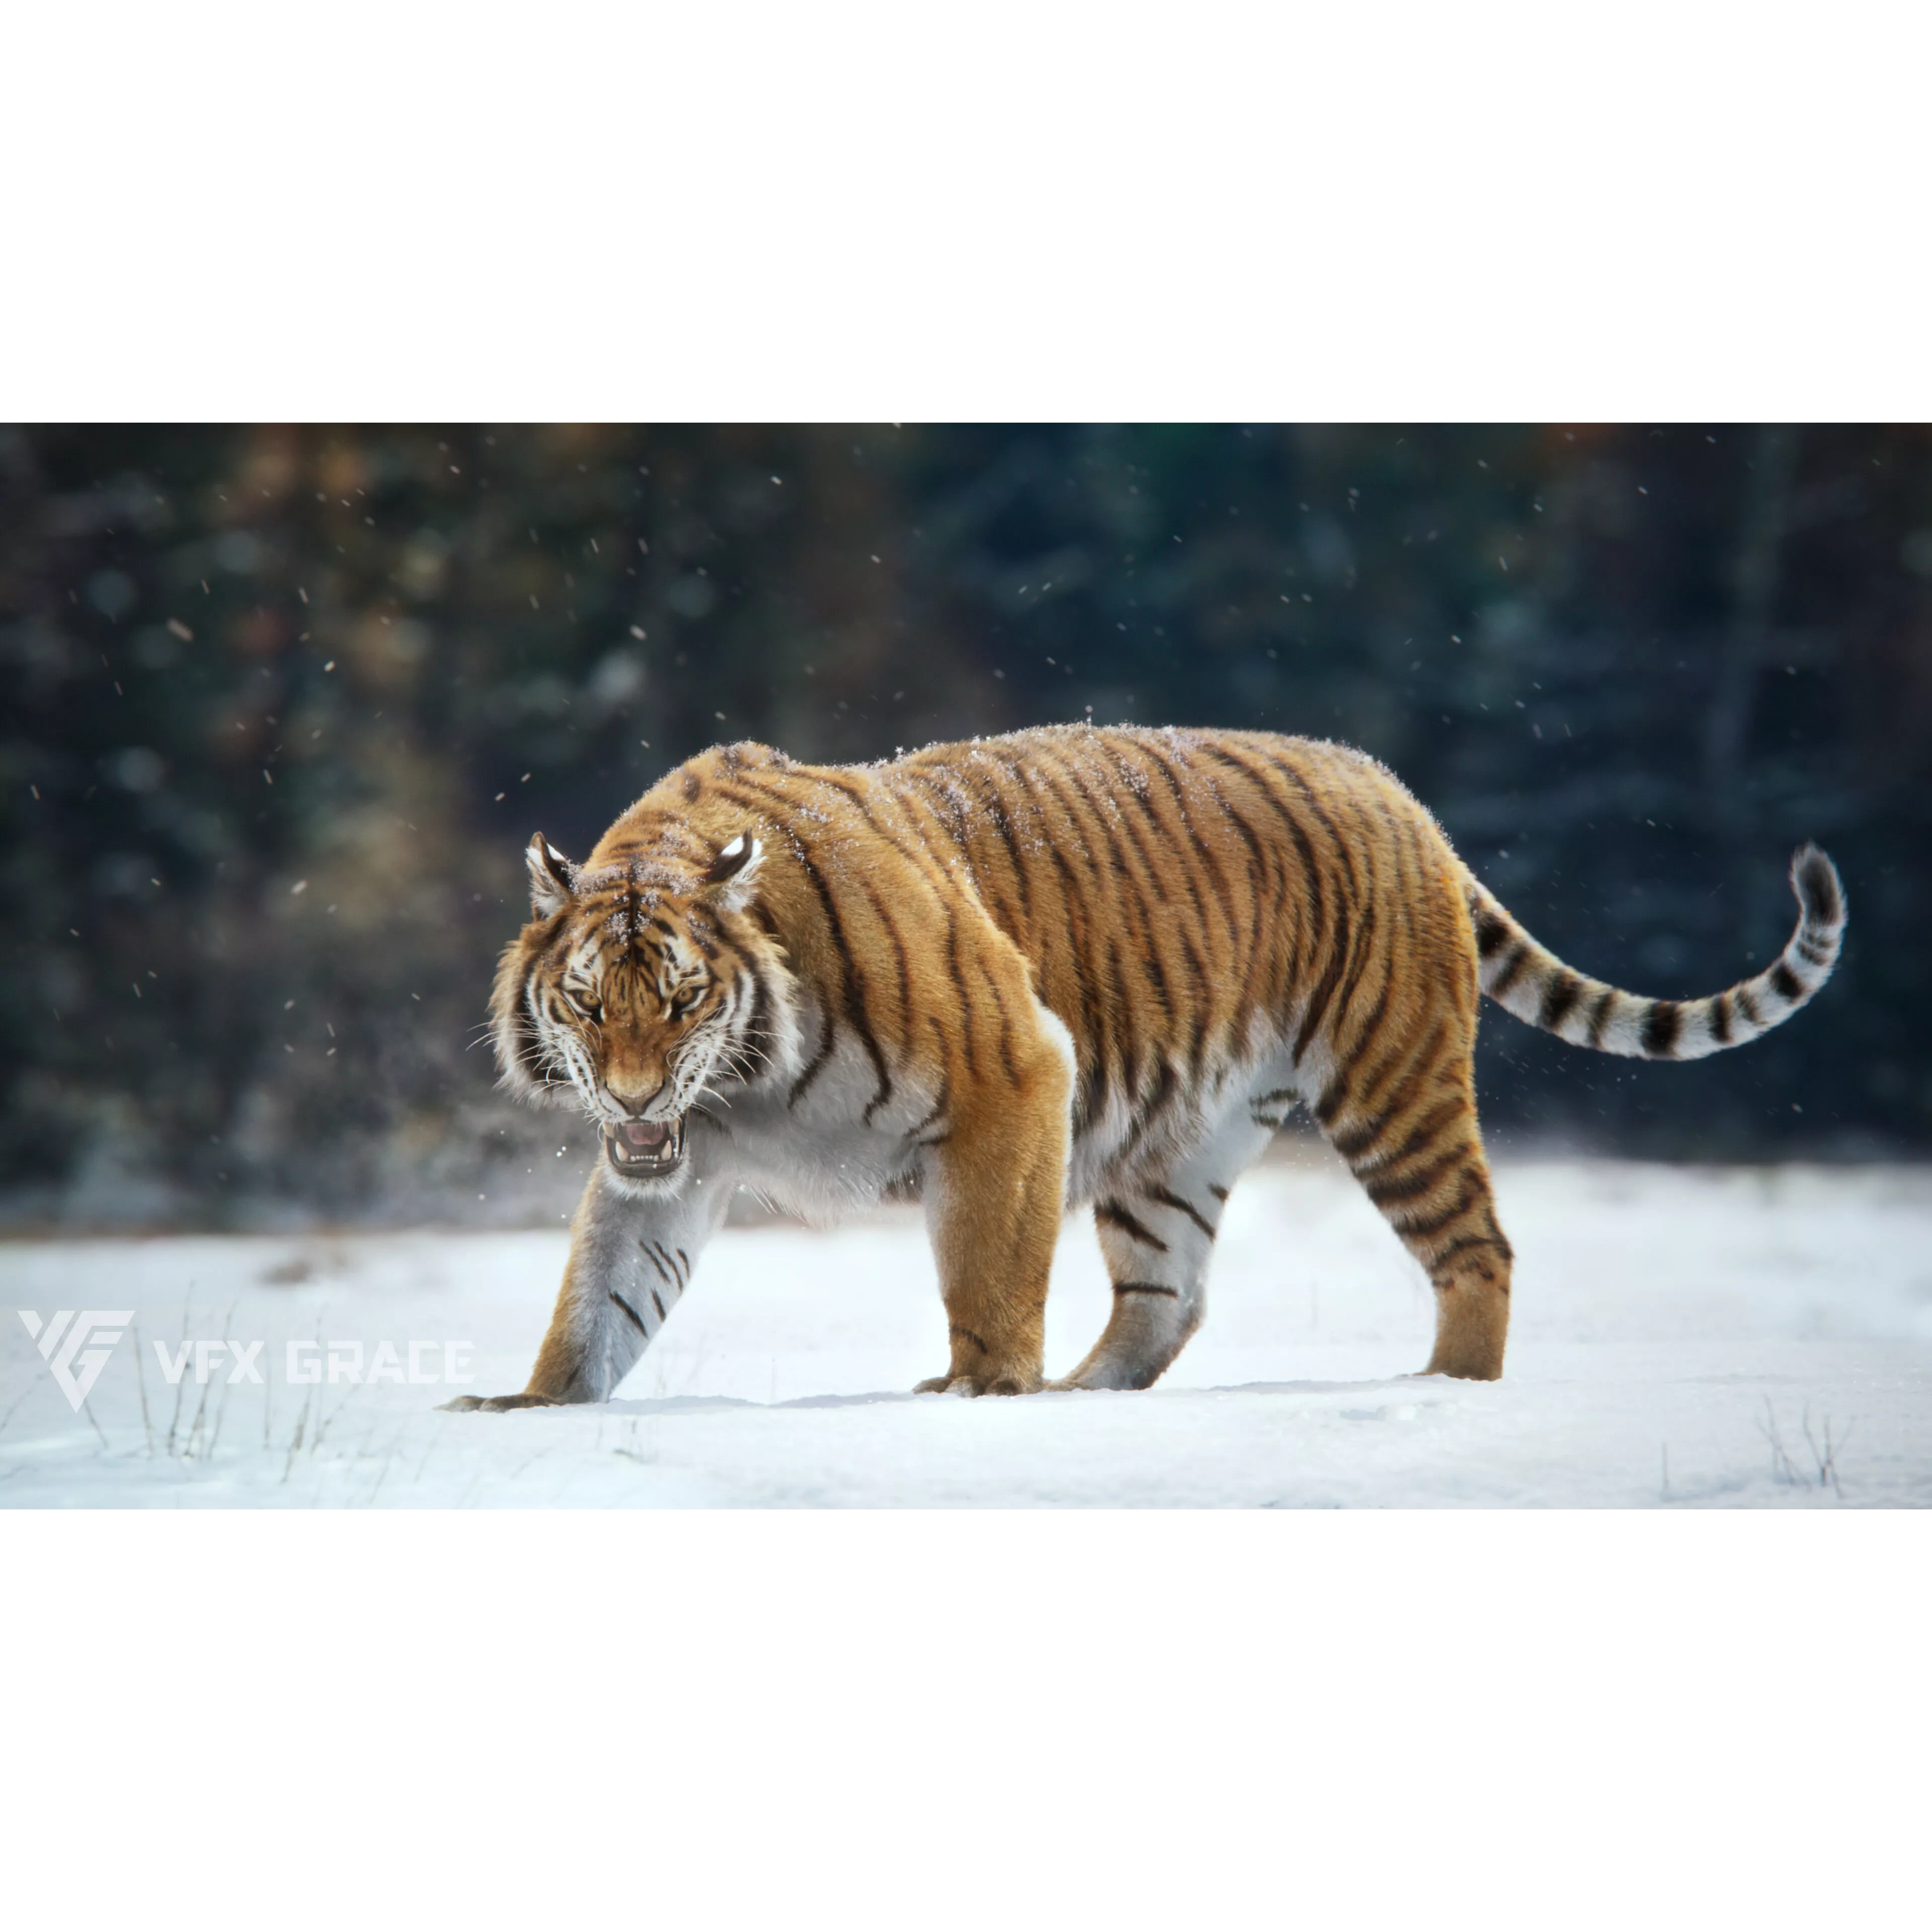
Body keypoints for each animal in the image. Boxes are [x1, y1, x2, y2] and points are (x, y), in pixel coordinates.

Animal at [445, 724, 1844, 1411]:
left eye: (682, 1001)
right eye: (588, 1004)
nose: (633, 1096)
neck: (739, 1084)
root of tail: (1400, 791)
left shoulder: (1016, 1074)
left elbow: (989, 1273)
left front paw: (982, 1392)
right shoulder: (672, 1169)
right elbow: (599, 1299)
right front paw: (533, 1406)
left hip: (1391, 1085)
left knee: (1477, 1247)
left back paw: (1447, 1389)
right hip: (1176, 1142)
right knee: (1169, 1299)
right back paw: (1086, 1397)